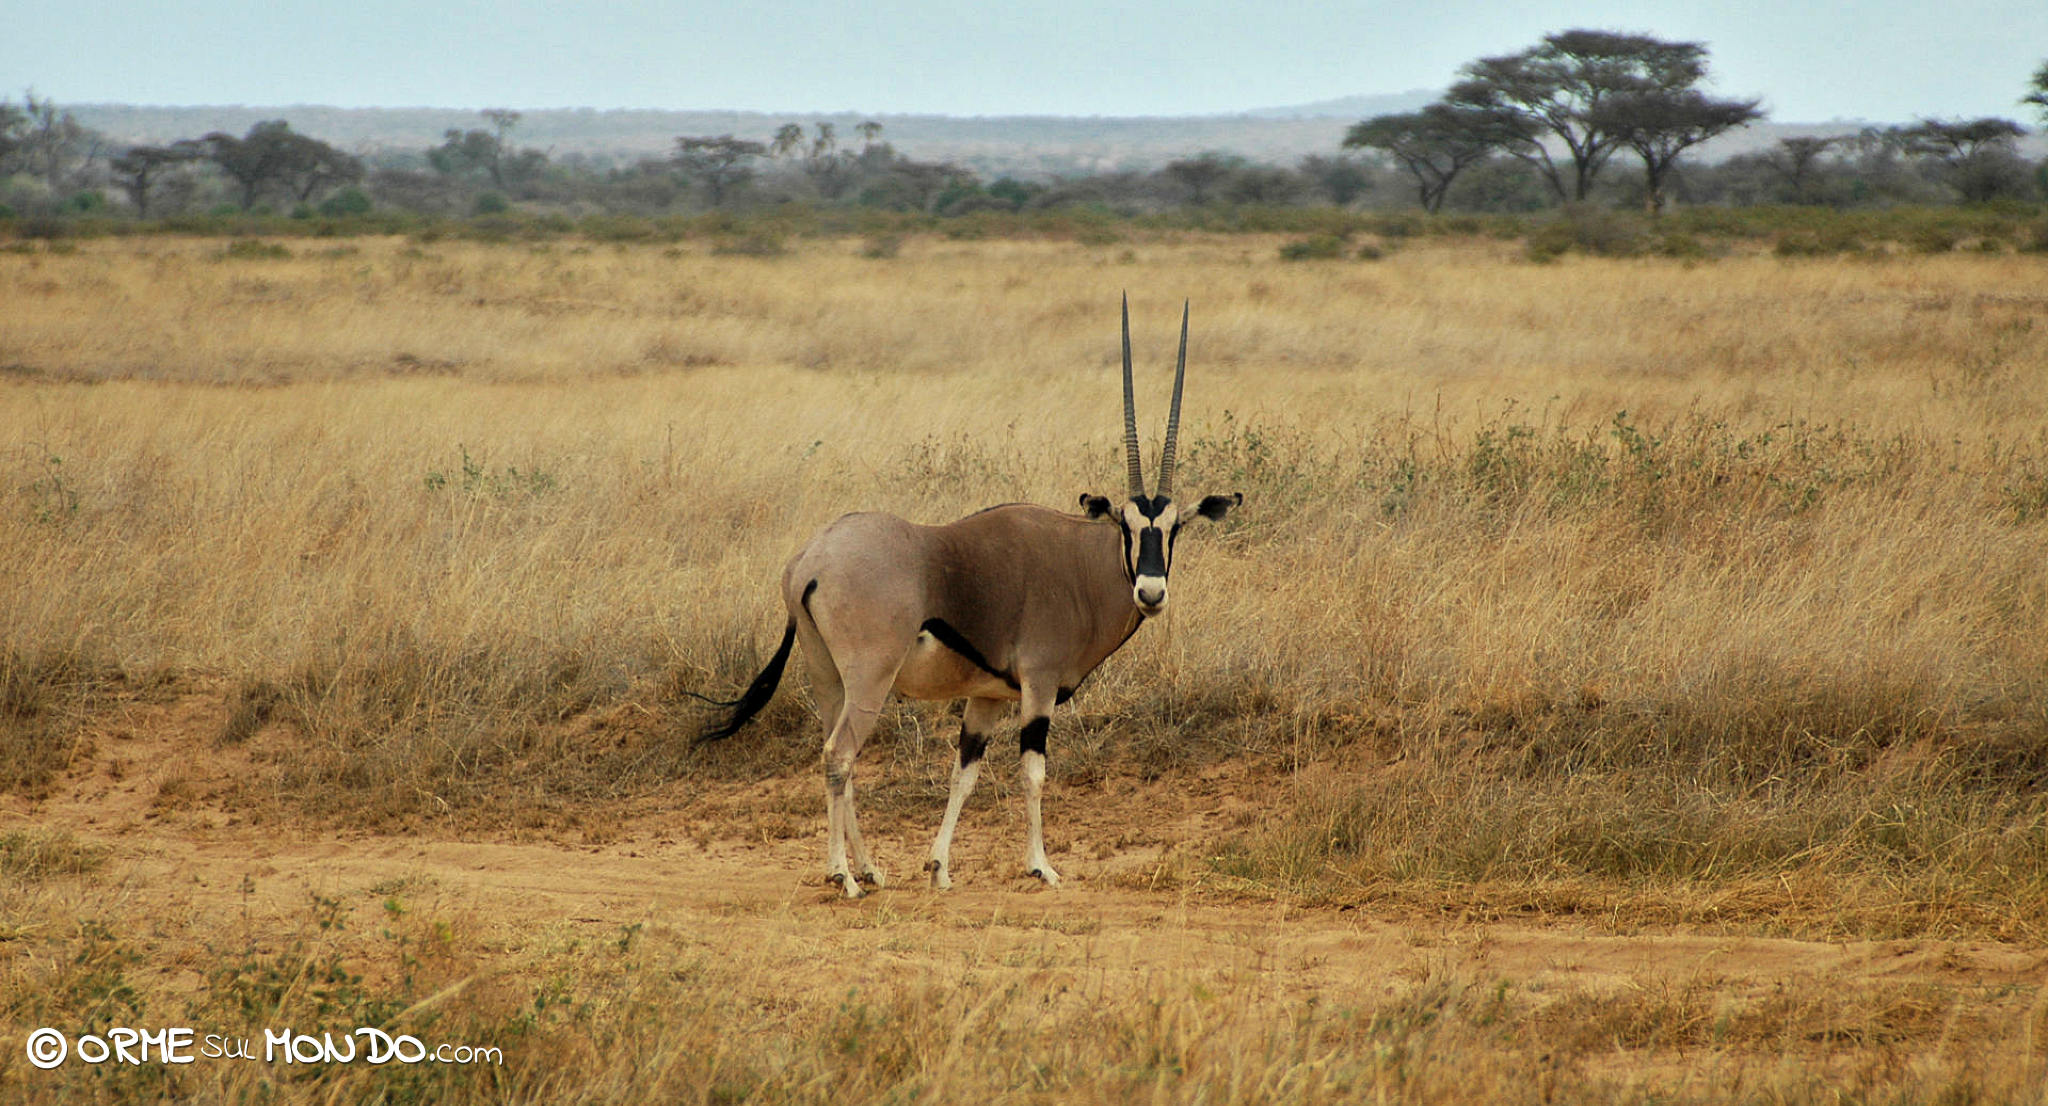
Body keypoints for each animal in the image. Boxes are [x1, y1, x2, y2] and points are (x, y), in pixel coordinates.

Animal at [696, 294, 1236, 897]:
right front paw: (1041, 865)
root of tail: (809, 562)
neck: (1079, 564)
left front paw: (939, 867)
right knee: (840, 755)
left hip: (828, 678)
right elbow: (1033, 773)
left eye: (1174, 527)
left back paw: (869, 868)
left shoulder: (988, 697)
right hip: (869, 678)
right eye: (1126, 523)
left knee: (841, 759)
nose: (1150, 590)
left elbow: (965, 774)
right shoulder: (1038, 687)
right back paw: (845, 876)